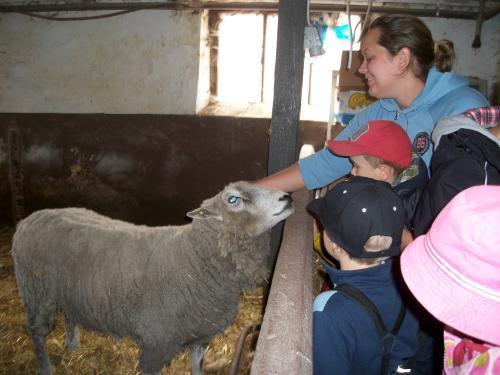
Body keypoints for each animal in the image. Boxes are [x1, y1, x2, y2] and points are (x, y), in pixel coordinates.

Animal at [11, 181, 292, 374]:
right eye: (233, 199)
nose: (287, 197)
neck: (193, 257)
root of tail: (30, 218)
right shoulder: (156, 344)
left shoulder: (201, 335)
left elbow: (197, 366)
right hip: (36, 294)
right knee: (36, 331)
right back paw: (45, 367)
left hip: (68, 292)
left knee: (69, 315)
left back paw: (72, 345)